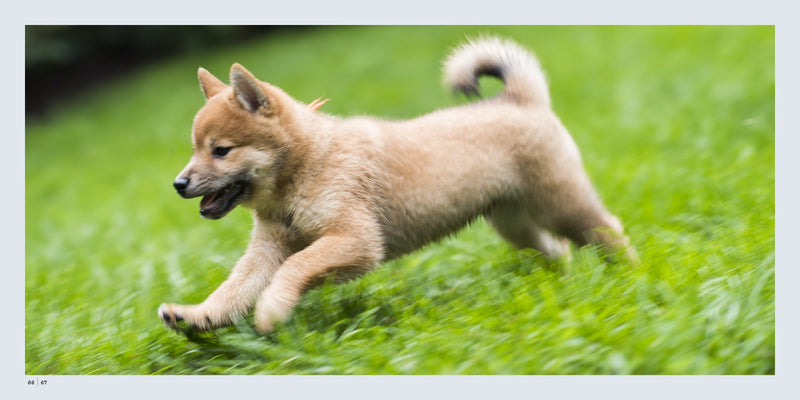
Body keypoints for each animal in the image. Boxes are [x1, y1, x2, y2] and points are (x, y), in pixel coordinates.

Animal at [156, 36, 636, 334]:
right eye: (194, 148)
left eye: (220, 151)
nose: (178, 183)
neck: (309, 166)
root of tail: (520, 99)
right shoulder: (267, 250)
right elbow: (231, 291)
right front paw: (195, 316)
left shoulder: (356, 240)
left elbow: (296, 268)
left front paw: (272, 309)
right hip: (514, 223)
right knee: (557, 249)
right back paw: (562, 282)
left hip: (562, 204)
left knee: (607, 229)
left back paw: (630, 274)